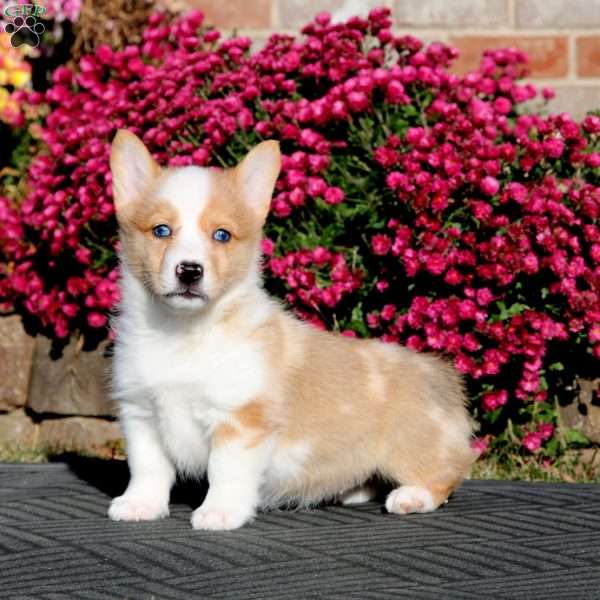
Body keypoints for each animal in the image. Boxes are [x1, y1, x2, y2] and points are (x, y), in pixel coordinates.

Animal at [106, 127, 474, 528]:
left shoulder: (240, 420)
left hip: (409, 441)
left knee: (449, 471)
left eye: (222, 235)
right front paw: (140, 505)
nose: (189, 271)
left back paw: (411, 497)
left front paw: (220, 513)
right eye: (161, 230)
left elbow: (225, 472)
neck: (182, 331)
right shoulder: (141, 414)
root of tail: (441, 374)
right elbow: (148, 469)